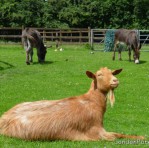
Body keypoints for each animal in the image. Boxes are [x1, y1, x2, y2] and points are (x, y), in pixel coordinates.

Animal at [0, 67, 144, 140]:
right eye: (99, 75)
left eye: (112, 72)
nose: (115, 81)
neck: (92, 101)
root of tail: (3, 119)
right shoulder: (97, 132)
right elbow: (116, 135)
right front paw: (142, 137)